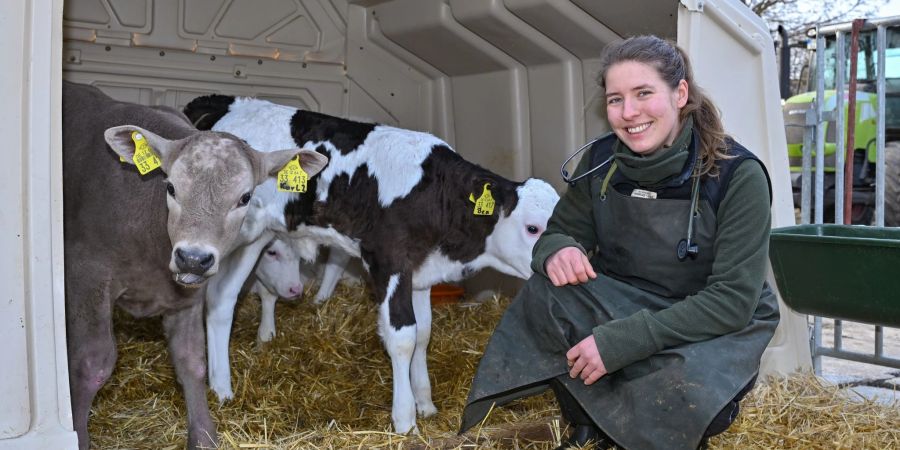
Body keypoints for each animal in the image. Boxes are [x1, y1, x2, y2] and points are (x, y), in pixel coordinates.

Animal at [185, 96, 560, 434]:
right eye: (533, 227)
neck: (430, 192)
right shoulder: (388, 261)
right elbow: (403, 337)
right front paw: (405, 419)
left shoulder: (421, 273)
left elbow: (424, 333)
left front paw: (425, 403)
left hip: (255, 236)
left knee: (221, 301)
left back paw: (221, 389)